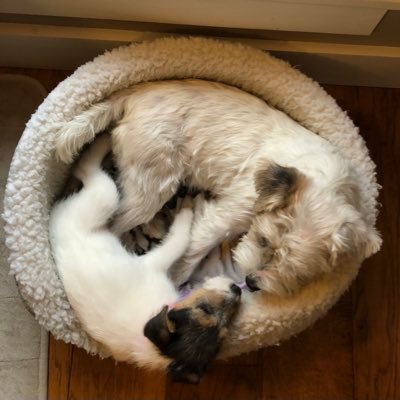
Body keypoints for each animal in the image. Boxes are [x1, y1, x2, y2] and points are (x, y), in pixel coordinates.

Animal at [50, 136, 244, 382]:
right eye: (204, 310)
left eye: (224, 332)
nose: (237, 289)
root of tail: (53, 221)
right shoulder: (152, 263)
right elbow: (180, 238)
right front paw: (187, 208)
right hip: (104, 198)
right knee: (89, 171)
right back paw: (100, 142)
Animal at [54, 79, 380, 296]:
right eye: (262, 240)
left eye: (299, 268)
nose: (252, 283)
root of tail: (135, 95)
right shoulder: (228, 213)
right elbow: (195, 246)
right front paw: (177, 278)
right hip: (153, 185)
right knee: (118, 222)